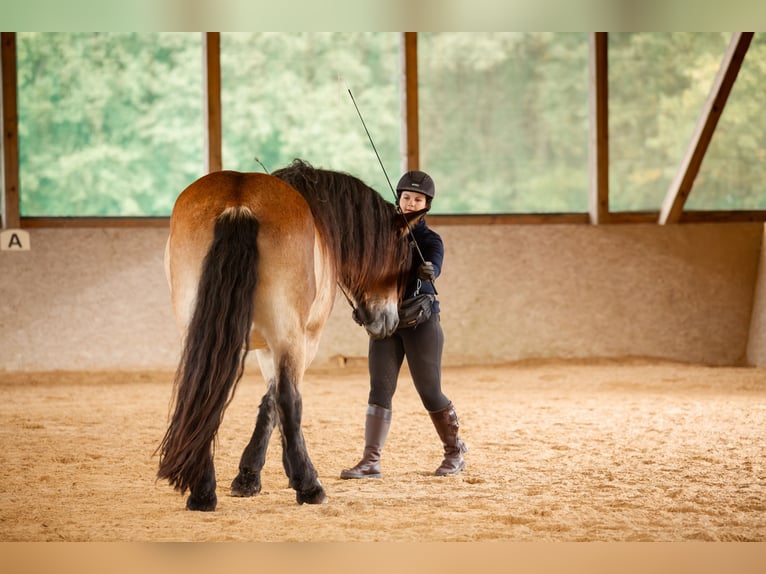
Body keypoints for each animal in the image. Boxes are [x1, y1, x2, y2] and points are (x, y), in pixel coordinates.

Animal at [157, 159, 426, 512]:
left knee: (202, 393)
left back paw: (202, 490)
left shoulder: (261, 347)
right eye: (402, 259)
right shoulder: (299, 342)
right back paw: (309, 486)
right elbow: (277, 400)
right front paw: (258, 476)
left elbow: (265, 401)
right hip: (288, 335)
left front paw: (247, 477)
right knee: (286, 398)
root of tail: (238, 203)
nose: (390, 322)